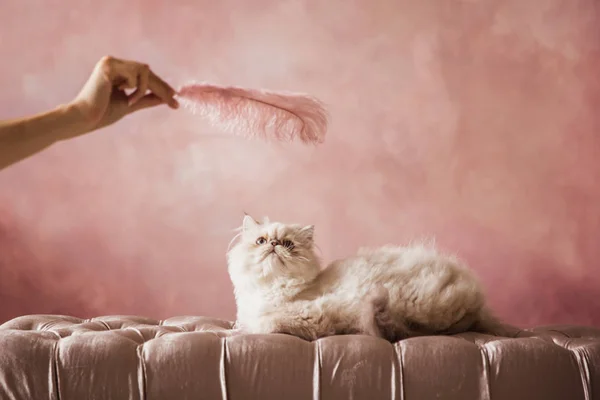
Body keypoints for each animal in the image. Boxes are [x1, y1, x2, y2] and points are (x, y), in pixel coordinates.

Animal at [225, 214, 506, 342]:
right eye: (261, 241)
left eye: (287, 244)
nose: (273, 245)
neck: (271, 288)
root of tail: (476, 302)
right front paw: (235, 328)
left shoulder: (312, 314)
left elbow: (265, 323)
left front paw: (245, 330)